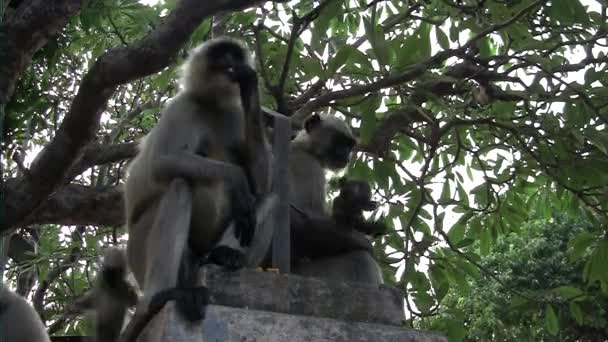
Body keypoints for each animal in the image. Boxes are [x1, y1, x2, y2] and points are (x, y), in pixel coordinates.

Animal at [123, 37, 274, 326]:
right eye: (221, 56)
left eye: (235, 57)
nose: (230, 64)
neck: (212, 105)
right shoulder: (182, 106)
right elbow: (161, 162)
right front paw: (236, 178)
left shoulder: (235, 115)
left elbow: (262, 183)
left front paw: (250, 85)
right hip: (138, 250)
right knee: (180, 184)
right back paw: (161, 296)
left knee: (269, 197)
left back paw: (226, 255)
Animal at [286, 114, 382, 286]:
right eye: (339, 141)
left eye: (349, 145)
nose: (346, 155)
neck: (304, 148)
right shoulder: (308, 166)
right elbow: (302, 222)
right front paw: (367, 245)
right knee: (362, 259)